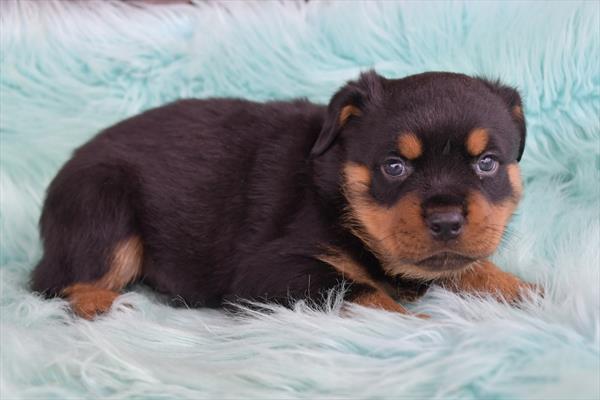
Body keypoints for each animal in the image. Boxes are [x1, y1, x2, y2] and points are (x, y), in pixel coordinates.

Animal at [29, 71, 536, 318]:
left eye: (487, 163)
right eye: (394, 166)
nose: (447, 221)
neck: (338, 189)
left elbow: (469, 266)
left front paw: (525, 291)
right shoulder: (272, 274)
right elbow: (365, 292)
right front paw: (422, 327)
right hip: (102, 208)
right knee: (62, 280)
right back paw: (108, 305)